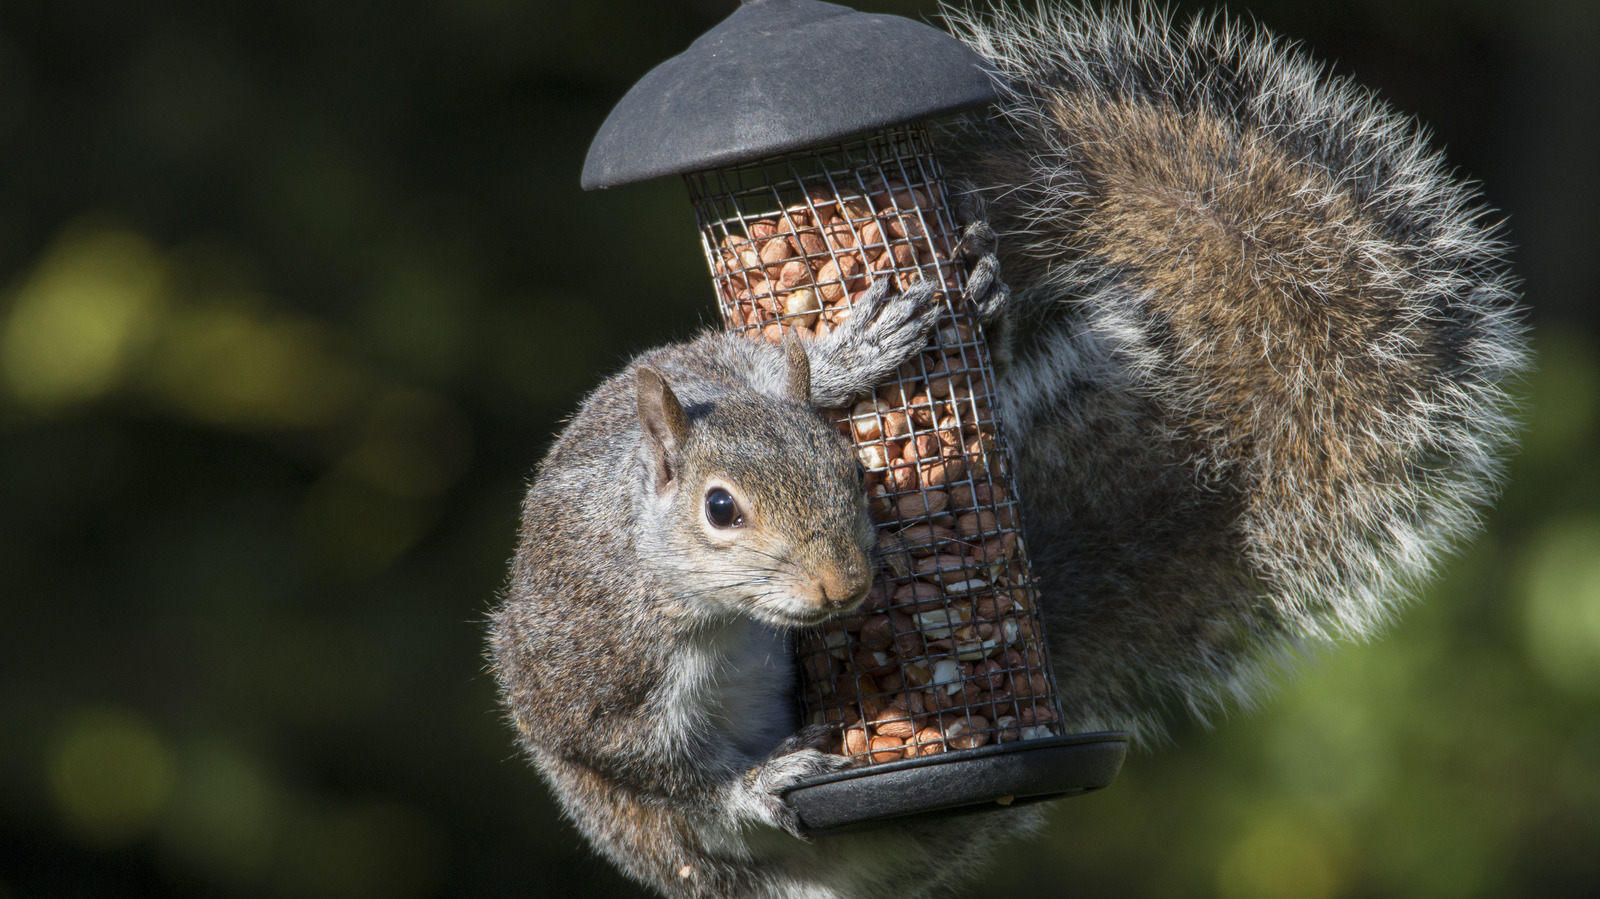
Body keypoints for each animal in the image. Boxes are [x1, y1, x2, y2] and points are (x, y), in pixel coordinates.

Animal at [488, 4, 1527, 898]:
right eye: (719, 509)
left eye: (849, 471)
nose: (842, 588)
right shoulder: (600, 671)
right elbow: (661, 769)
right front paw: (756, 783)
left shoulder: (711, 364)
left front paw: (860, 349)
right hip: (649, 832)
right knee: (697, 831)